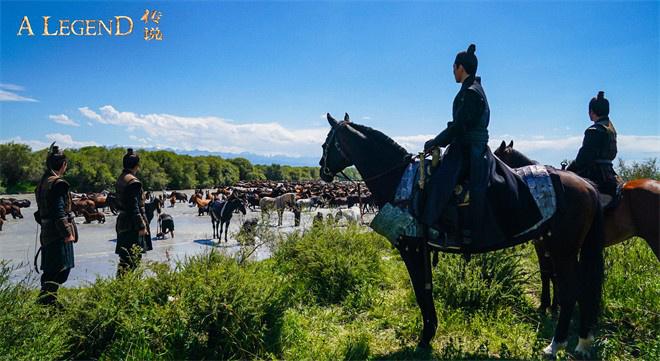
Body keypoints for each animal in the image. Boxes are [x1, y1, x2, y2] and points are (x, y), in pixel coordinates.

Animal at [318, 114, 604, 356]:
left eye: (325, 143)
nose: (322, 170)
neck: (400, 180)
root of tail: (588, 186)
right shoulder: (423, 250)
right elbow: (427, 291)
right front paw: (430, 332)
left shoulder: (412, 249)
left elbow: (421, 292)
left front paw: (425, 337)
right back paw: (579, 341)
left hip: (562, 250)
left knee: (570, 290)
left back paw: (555, 344)